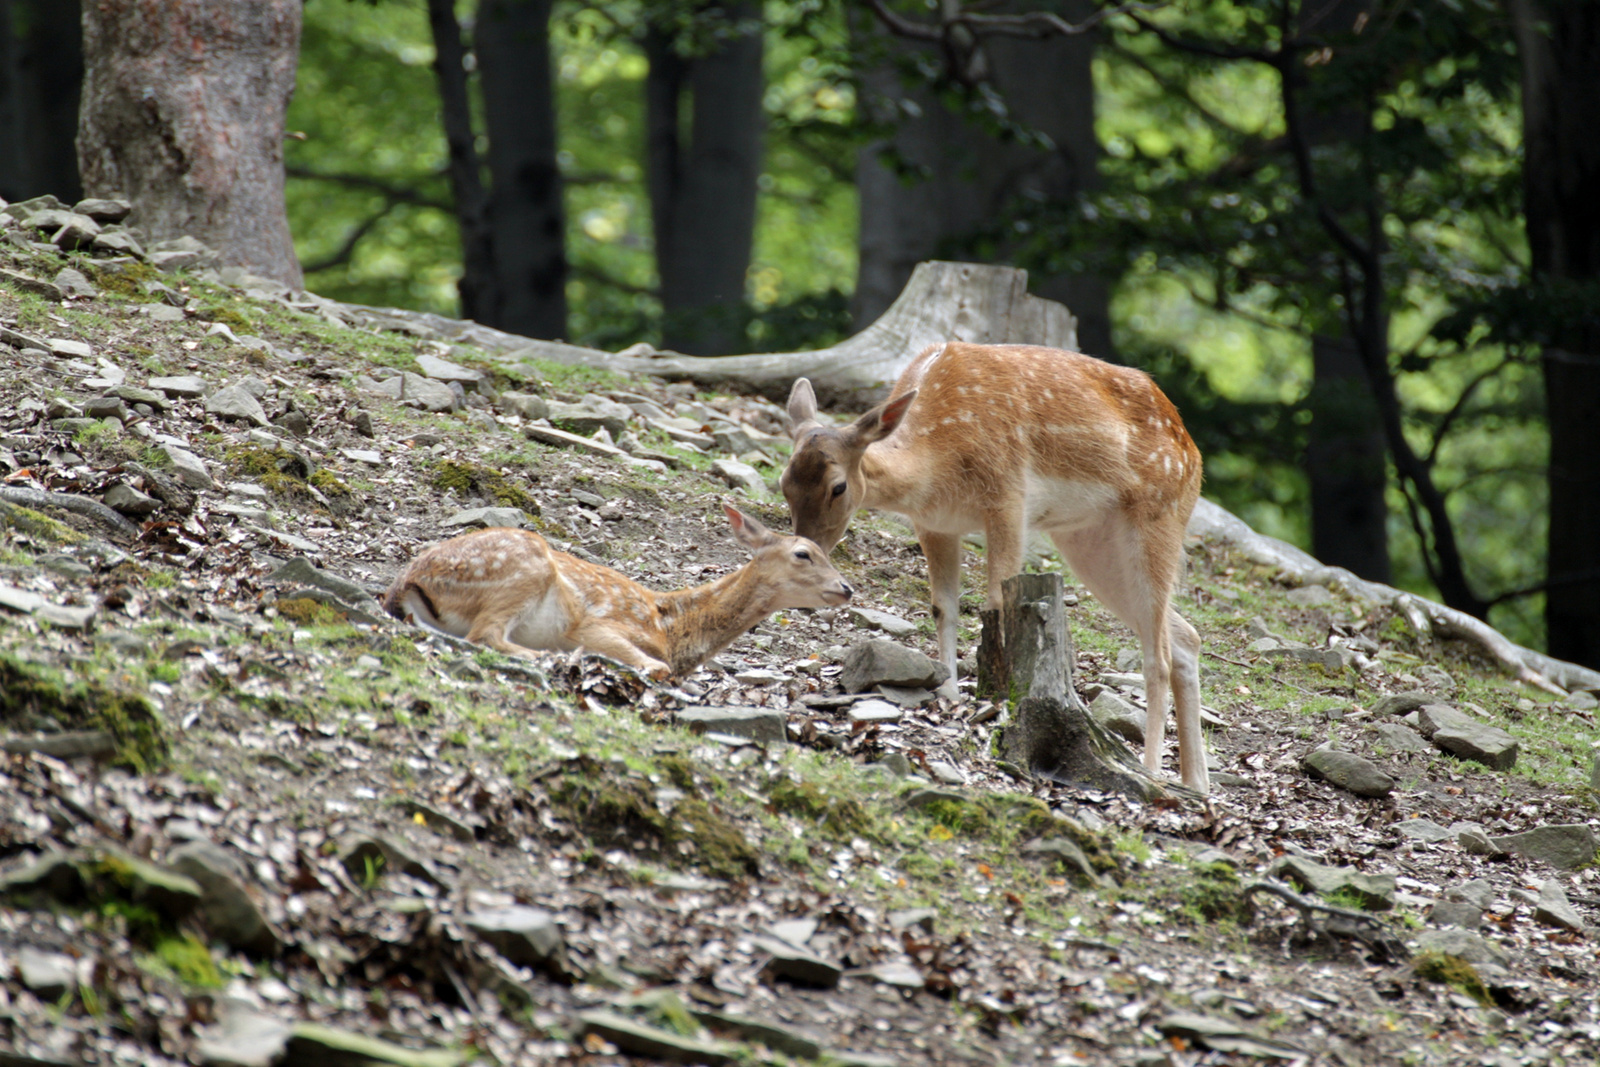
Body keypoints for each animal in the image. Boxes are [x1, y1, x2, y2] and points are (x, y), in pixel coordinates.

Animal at [384, 502, 851, 684]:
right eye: (804, 553)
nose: (846, 588)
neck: (672, 625)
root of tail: (406, 584)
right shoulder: (599, 624)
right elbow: (656, 667)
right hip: (523, 569)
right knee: (485, 635)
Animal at [780, 342, 1203, 793]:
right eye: (785, 483)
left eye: (838, 487)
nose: (805, 548)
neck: (936, 472)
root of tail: (1193, 452)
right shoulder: (934, 524)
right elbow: (943, 607)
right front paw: (949, 693)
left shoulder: (1008, 496)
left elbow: (997, 602)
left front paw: (999, 698)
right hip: (1088, 540)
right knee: (1185, 637)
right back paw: (1197, 784)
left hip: (1159, 513)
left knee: (1158, 656)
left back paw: (1153, 770)